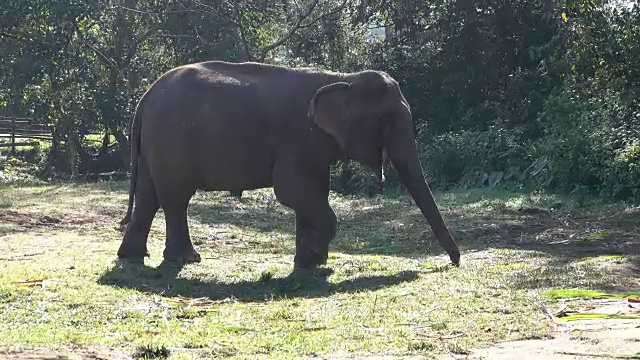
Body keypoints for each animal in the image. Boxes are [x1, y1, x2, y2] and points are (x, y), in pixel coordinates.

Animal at [116, 59, 460, 268]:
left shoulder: (315, 145)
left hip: (155, 145)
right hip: (172, 141)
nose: (454, 263)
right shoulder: (296, 138)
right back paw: (187, 259)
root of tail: (145, 97)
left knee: (149, 195)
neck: (342, 79)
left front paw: (309, 260)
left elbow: (314, 190)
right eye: (387, 122)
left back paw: (133, 257)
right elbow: (291, 190)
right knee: (175, 197)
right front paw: (316, 258)